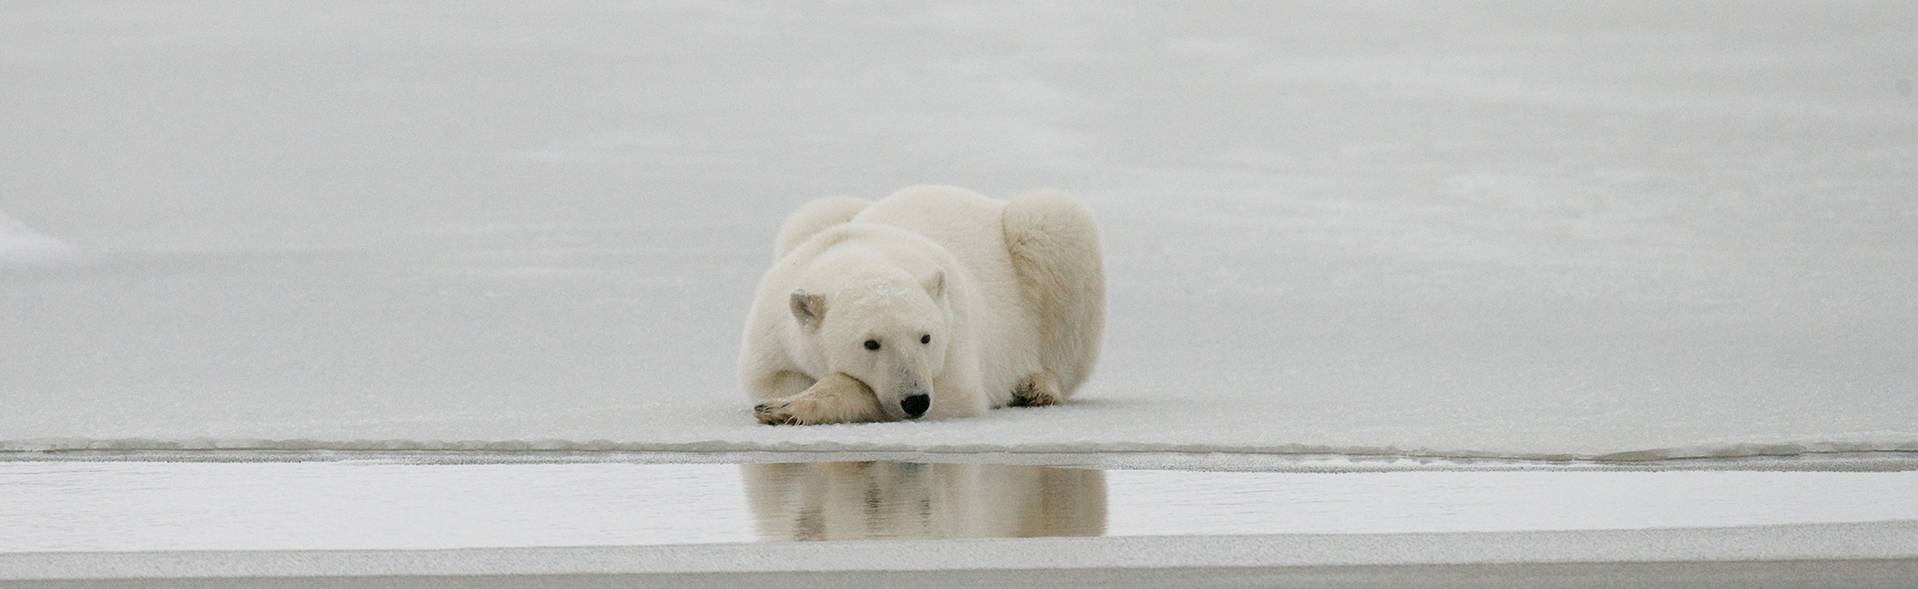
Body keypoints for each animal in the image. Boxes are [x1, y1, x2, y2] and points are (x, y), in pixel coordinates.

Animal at [738, 185, 1105, 425]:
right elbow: (773, 378)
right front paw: (777, 403)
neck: (858, 252)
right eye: (871, 343)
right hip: (812, 220)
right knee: (816, 210)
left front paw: (785, 409)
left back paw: (1035, 386)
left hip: (1043, 245)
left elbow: (957, 391)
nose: (915, 400)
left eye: (926, 337)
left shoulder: (953, 325)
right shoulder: (773, 329)